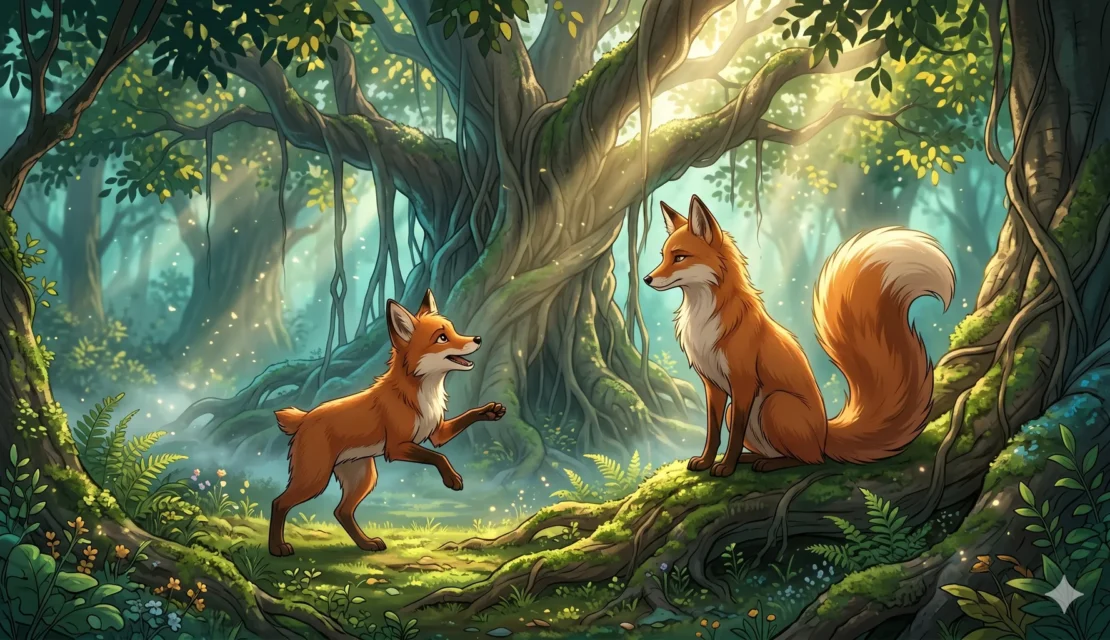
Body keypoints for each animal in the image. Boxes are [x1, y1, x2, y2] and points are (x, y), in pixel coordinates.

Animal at [267, 289, 506, 556]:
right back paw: (277, 548)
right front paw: (452, 479)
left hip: (363, 477)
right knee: (279, 502)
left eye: (454, 330)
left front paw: (490, 411)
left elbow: (465, 419)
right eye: (442, 337)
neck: (420, 393)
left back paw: (367, 544)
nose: (478, 338)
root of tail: (305, 417)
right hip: (314, 479)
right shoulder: (397, 447)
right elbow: (439, 457)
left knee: (341, 512)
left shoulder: (437, 433)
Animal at [645, 195, 954, 476]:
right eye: (663, 256)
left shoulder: (743, 383)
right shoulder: (714, 386)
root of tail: (825, 433)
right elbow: (713, 433)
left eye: (680, 257)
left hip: (773, 405)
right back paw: (753, 458)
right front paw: (707, 462)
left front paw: (726, 467)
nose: (647, 279)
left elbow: (732, 439)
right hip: (745, 412)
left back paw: (768, 464)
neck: (704, 318)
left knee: (810, 460)